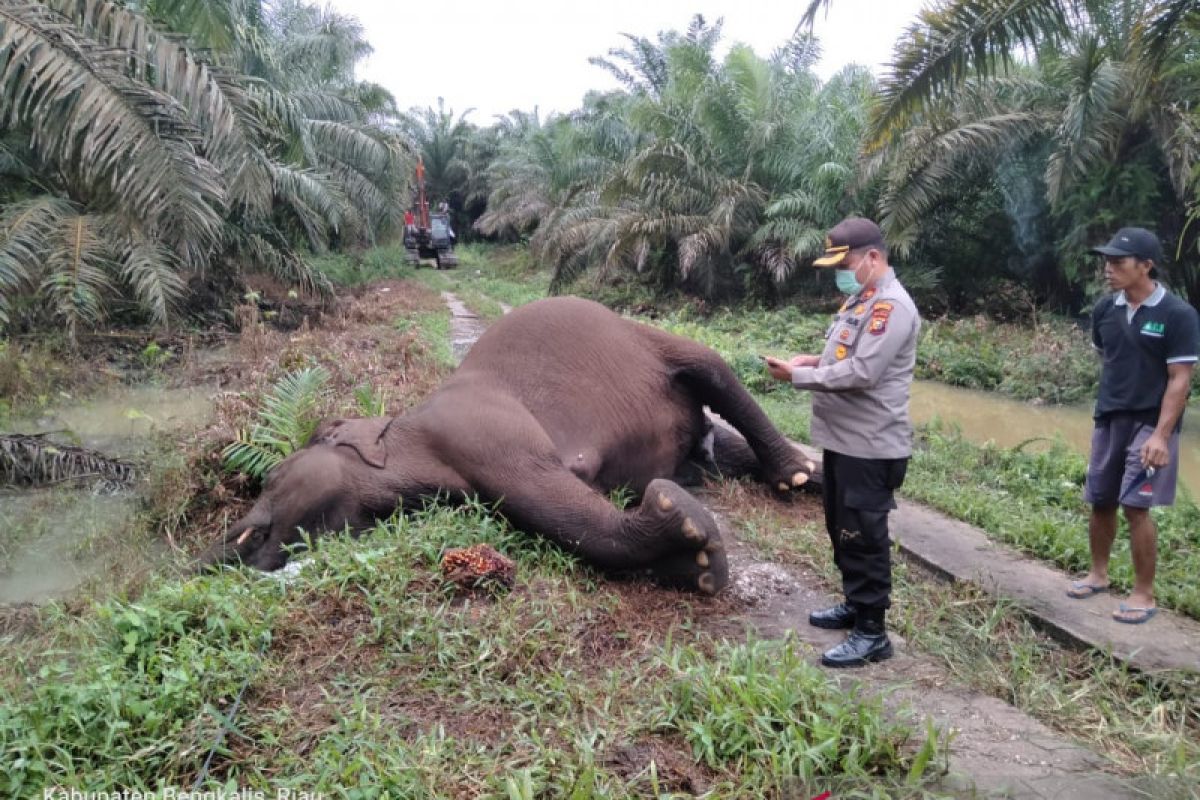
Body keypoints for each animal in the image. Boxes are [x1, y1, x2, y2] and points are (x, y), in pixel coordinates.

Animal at [204, 297, 816, 592]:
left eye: (272, 476)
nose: (209, 562)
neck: (404, 430)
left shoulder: (479, 431)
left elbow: (553, 497)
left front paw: (685, 530)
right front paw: (694, 559)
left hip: (649, 339)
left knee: (708, 366)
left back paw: (794, 474)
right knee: (716, 450)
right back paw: (803, 475)